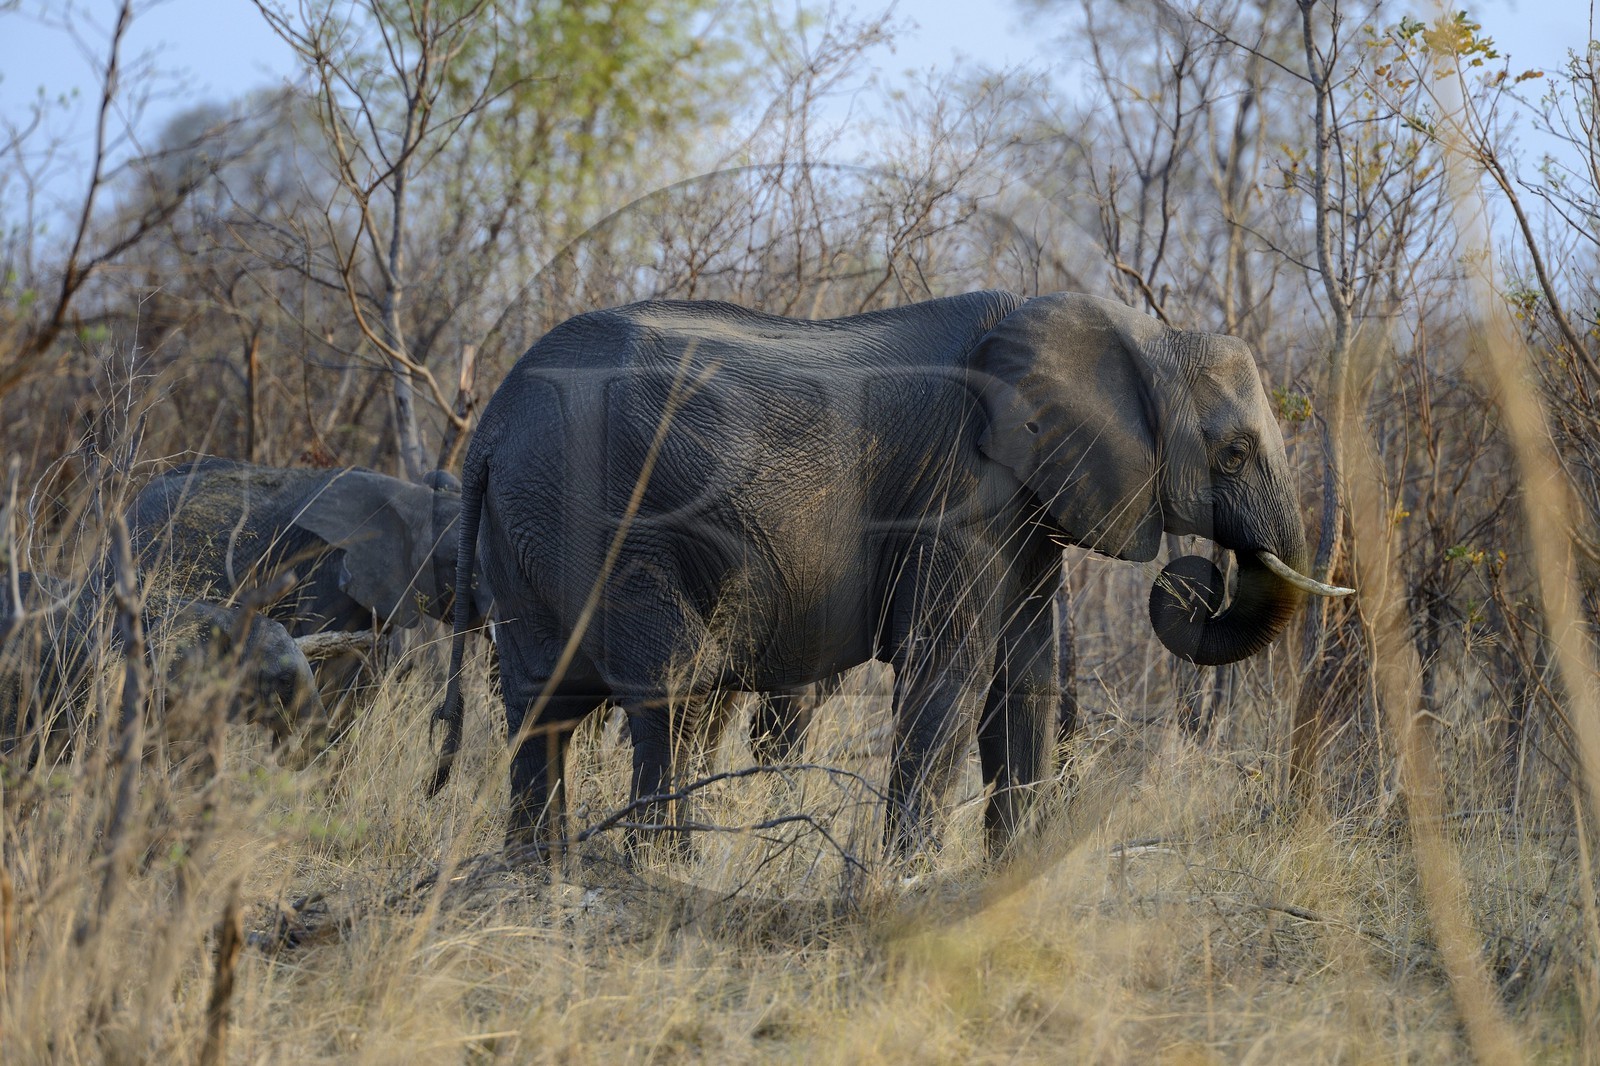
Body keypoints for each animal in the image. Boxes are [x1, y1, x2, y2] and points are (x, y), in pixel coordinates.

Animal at [430, 290, 1351, 858]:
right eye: (1234, 454)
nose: (1202, 577)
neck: (1134, 335)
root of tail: (490, 428)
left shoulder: (1026, 501)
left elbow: (1024, 684)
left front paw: (1004, 879)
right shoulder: (960, 491)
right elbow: (951, 674)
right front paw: (902, 878)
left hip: (531, 521)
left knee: (540, 706)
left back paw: (541, 873)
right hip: (605, 520)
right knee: (671, 691)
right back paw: (665, 867)